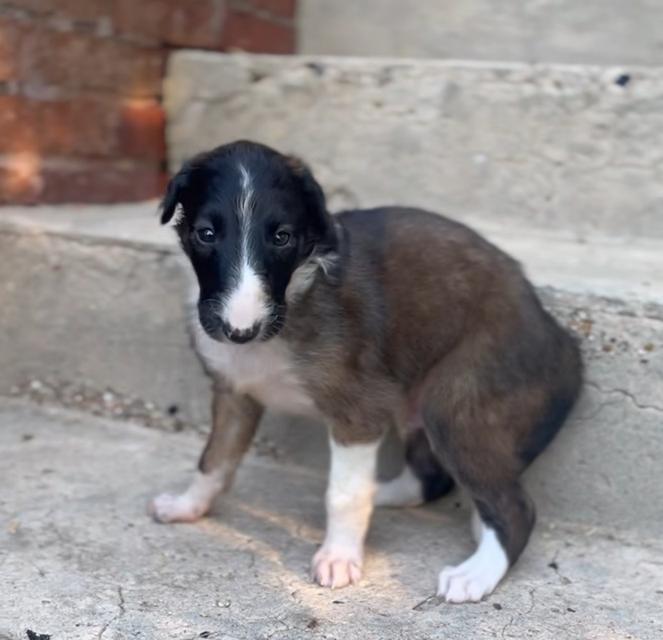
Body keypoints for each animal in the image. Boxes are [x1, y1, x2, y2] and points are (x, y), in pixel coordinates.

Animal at [150, 141, 580, 604]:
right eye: (206, 234)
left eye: (282, 237)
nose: (239, 331)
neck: (295, 297)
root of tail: (560, 336)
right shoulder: (235, 393)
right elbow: (214, 458)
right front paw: (189, 505)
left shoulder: (358, 411)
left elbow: (344, 494)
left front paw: (339, 557)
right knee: (430, 478)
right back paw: (384, 494)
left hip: (459, 402)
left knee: (515, 508)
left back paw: (475, 575)